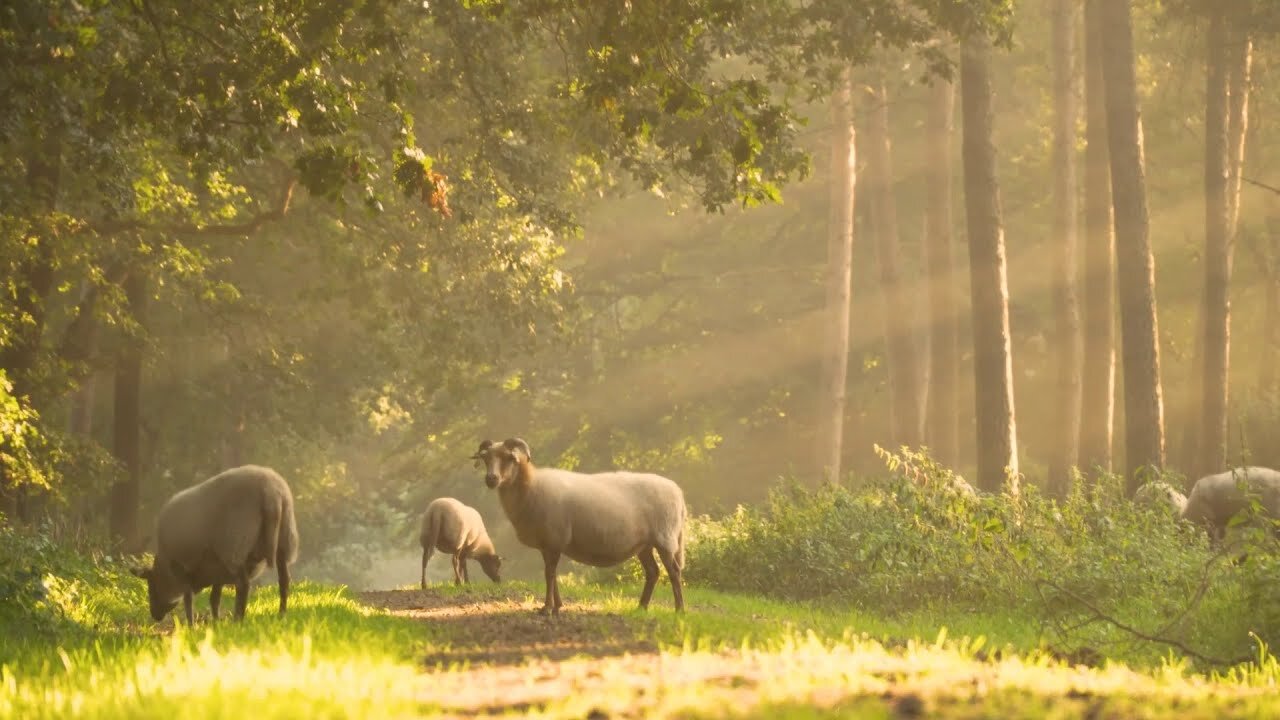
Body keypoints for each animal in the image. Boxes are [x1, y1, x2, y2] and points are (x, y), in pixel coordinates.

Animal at [131, 466, 298, 622]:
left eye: (151, 587)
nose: (155, 616)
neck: (165, 569)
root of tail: (271, 492)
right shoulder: (218, 570)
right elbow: (214, 598)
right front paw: (216, 622)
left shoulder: (182, 567)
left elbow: (188, 598)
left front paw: (191, 625)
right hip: (285, 538)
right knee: (284, 580)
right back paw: (281, 614)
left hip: (235, 545)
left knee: (243, 585)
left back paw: (238, 620)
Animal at [473, 435, 691, 614]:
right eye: (486, 459)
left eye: (509, 458)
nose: (491, 479)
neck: (530, 486)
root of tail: (678, 492)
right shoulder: (548, 543)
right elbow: (552, 574)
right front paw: (557, 606)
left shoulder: (554, 539)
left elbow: (549, 574)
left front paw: (547, 608)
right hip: (644, 544)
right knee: (653, 572)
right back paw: (641, 607)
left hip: (665, 538)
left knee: (674, 572)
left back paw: (679, 610)